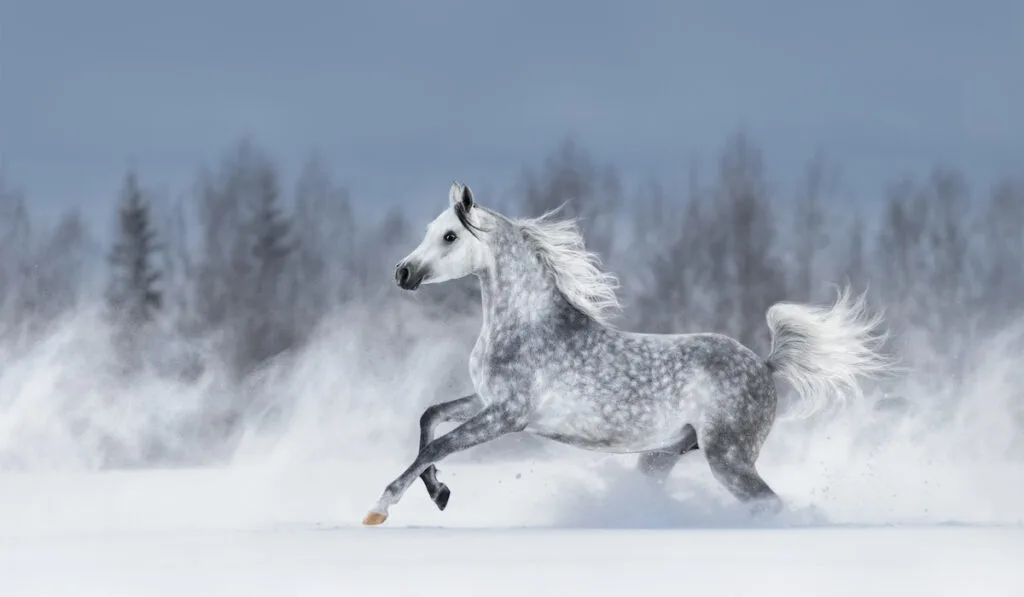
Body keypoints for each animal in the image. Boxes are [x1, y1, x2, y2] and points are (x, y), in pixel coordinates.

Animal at [364, 180, 892, 524]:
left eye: (450, 236)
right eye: (431, 230)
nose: (401, 273)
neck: (526, 325)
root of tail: (766, 364)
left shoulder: (507, 415)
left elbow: (438, 444)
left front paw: (380, 507)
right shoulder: (485, 400)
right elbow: (429, 419)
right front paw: (440, 493)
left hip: (729, 458)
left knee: (770, 505)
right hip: (663, 456)